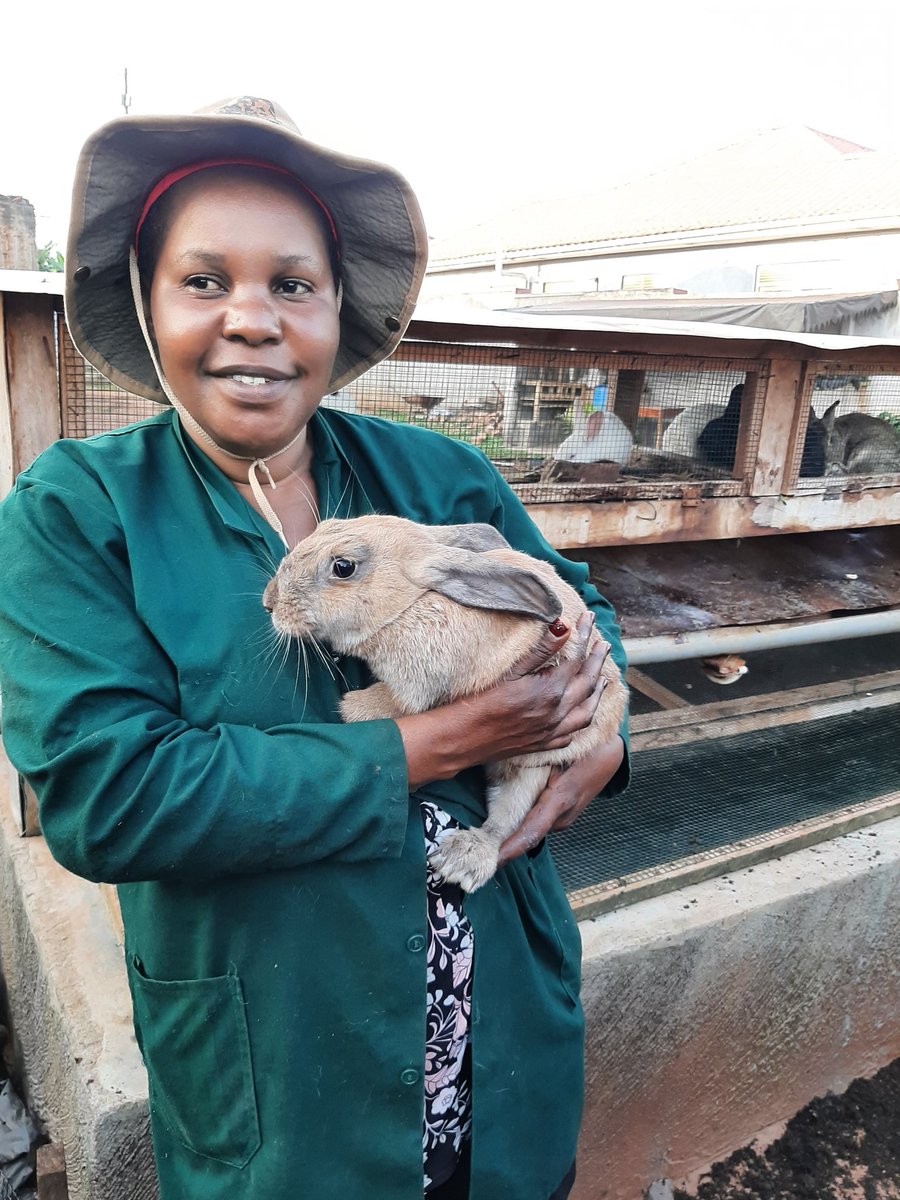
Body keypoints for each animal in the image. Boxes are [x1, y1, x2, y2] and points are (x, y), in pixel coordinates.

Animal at [263, 516, 628, 892]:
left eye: (343, 567)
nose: (269, 601)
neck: (410, 605)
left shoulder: (416, 685)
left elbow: (398, 702)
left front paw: (353, 706)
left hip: (535, 767)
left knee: (507, 818)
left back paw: (462, 859)